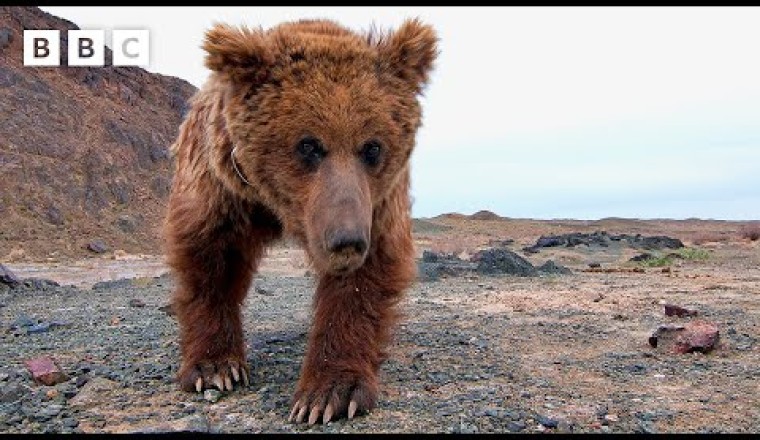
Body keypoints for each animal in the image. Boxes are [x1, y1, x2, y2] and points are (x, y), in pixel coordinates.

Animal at [163, 18, 438, 425]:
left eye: (372, 147)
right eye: (308, 145)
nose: (347, 240)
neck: (273, 203)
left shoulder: (377, 201)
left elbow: (364, 278)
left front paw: (328, 394)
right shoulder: (219, 186)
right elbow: (210, 260)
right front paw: (215, 368)